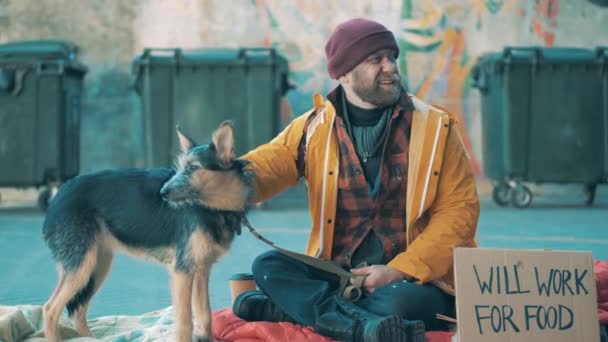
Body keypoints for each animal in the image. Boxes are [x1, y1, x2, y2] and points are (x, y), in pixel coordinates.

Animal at [42, 121, 252, 340]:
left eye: (193, 167)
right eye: (178, 168)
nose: (162, 193)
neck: (214, 208)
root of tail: (57, 196)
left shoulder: (201, 270)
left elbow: (205, 317)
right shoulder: (182, 271)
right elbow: (185, 322)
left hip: (97, 265)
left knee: (78, 309)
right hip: (82, 265)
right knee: (50, 309)